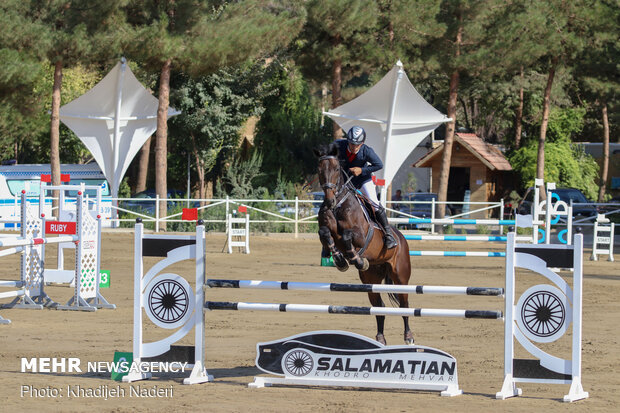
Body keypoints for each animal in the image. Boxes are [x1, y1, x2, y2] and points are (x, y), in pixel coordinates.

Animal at [312, 142, 414, 344]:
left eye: (336, 169)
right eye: (319, 170)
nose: (329, 200)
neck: (338, 205)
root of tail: (402, 238)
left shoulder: (360, 235)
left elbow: (346, 236)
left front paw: (356, 259)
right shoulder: (326, 231)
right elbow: (325, 234)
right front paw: (340, 260)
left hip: (400, 277)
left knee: (405, 305)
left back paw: (408, 337)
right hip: (371, 279)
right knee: (378, 307)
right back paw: (380, 340)